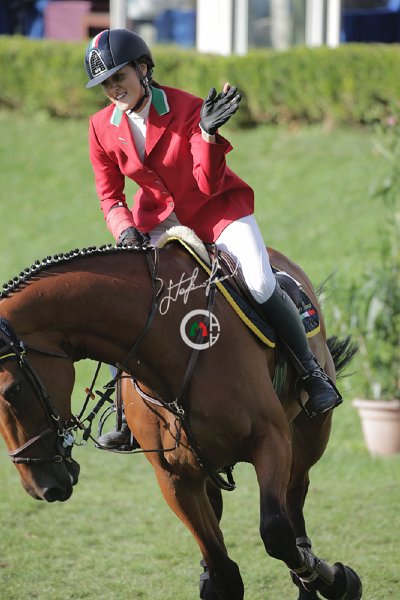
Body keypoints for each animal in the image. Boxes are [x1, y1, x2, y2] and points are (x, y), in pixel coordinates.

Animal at [0, 238, 362, 600]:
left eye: (12, 391)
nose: (41, 486)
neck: (170, 349)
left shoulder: (270, 439)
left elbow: (277, 532)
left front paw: (339, 582)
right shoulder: (175, 479)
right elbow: (224, 571)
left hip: (307, 434)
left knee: (294, 499)